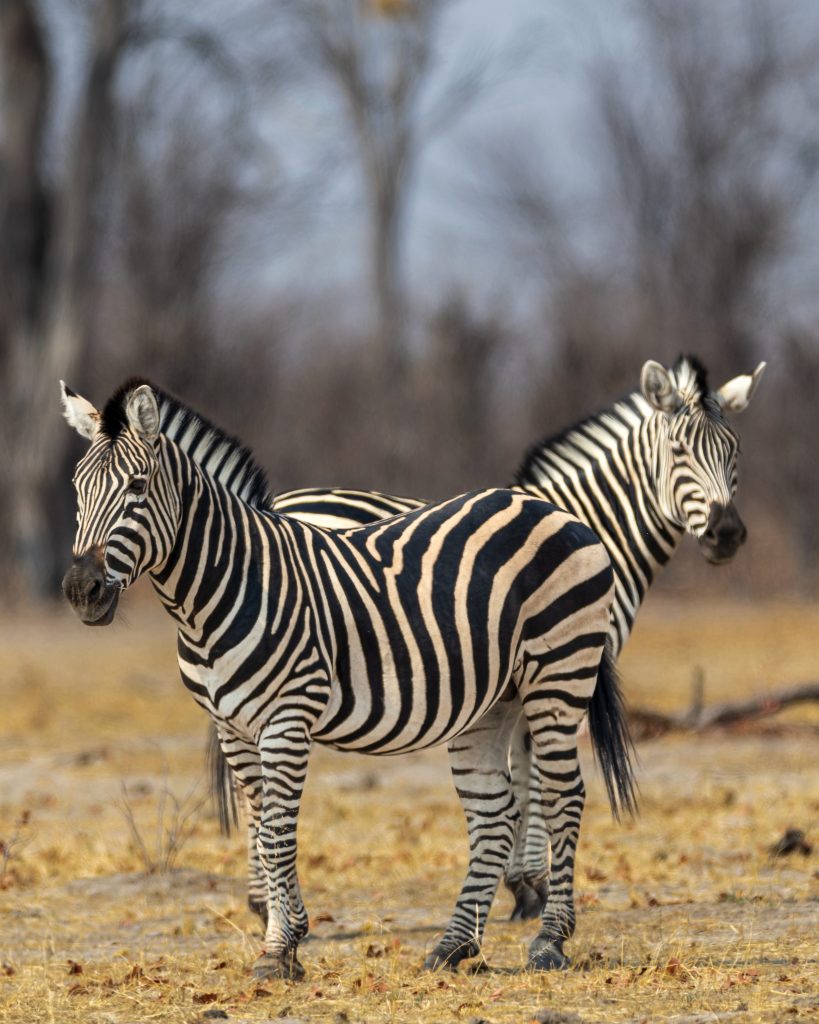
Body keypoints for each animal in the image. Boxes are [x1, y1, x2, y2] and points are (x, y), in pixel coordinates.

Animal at [60, 378, 636, 979]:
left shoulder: (287, 718)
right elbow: (261, 830)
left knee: (563, 795)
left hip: (559, 673)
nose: (82, 591)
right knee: (494, 812)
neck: (218, 592)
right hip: (494, 699)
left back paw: (549, 941)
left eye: (137, 487)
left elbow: (277, 834)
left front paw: (280, 948)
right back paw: (454, 946)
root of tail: (547, 507)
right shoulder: (232, 726)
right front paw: (284, 942)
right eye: (76, 490)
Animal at [210, 353, 765, 920]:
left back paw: (263, 901)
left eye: (736, 451)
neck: (592, 527)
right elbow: (534, 774)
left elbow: (518, 772)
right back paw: (265, 903)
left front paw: (519, 882)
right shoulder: (553, 664)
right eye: (679, 451)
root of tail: (272, 501)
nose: (725, 534)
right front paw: (530, 886)